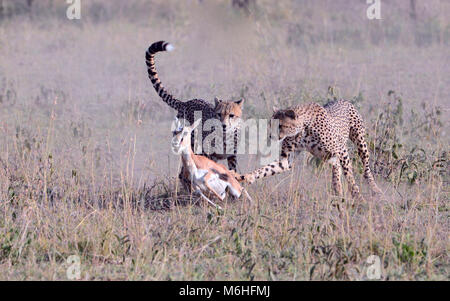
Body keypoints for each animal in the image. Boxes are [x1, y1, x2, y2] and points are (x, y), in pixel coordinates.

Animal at [241, 99, 382, 200]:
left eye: (280, 125)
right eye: (271, 124)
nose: (271, 136)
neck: (302, 129)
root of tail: (344, 100)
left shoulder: (341, 150)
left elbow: (349, 176)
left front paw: (357, 195)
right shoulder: (286, 160)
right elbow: (266, 169)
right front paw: (248, 176)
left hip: (360, 143)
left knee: (366, 169)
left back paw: (375, 189)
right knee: (336, 167)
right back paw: (338, 188)